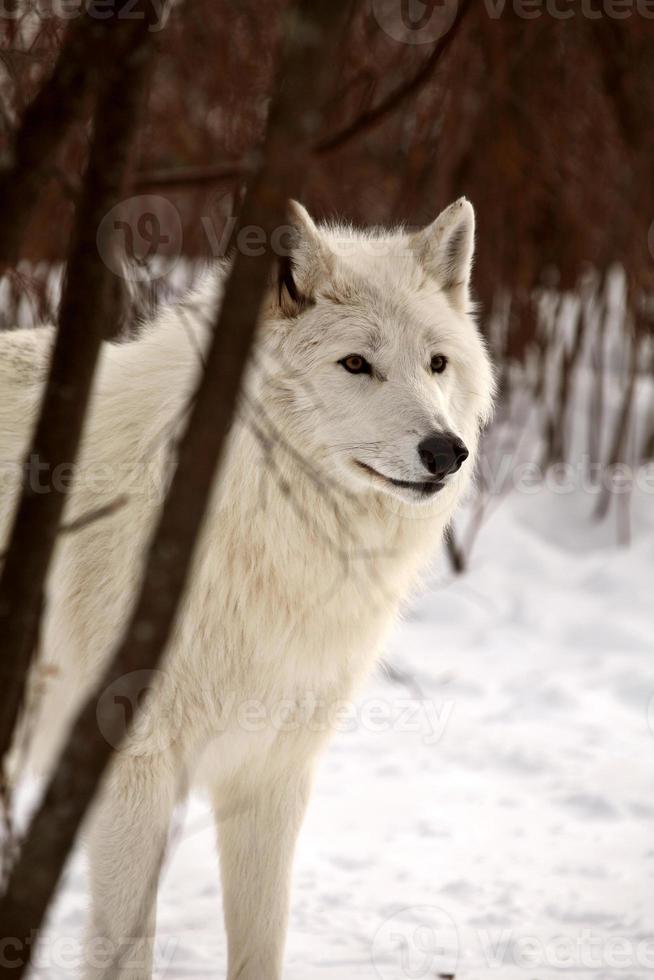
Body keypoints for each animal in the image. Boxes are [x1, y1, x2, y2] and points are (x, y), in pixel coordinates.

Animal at [0, 195, 492, 976]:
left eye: (437, 363)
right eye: (357, 364)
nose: (446, 451)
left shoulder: (272, 773)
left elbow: (261, 943)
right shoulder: (130, 771)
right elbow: (125, 952)